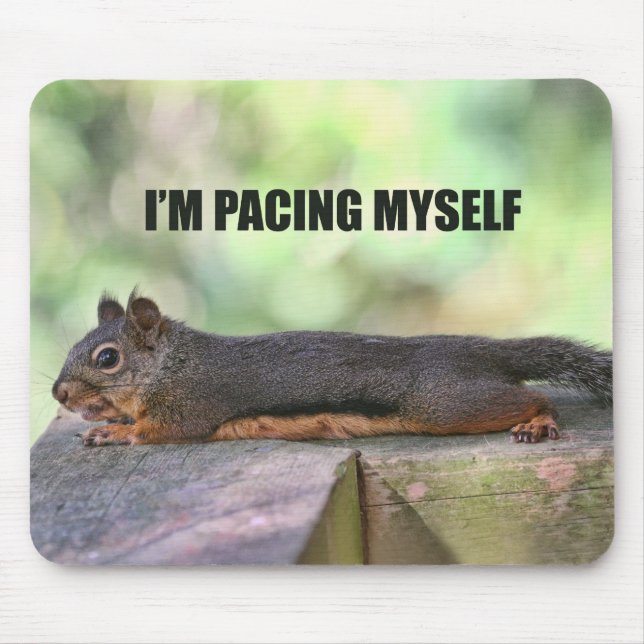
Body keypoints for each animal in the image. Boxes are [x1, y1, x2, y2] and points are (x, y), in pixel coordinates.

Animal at [51, 289, 612, 447]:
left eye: (107, 358)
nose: (59, 394)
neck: (172, 364)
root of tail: (476, 351)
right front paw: (111, 419)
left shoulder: (190, 404)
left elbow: (160, 432)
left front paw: (114, 433)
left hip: (450, 404)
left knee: (532, 397)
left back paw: (539, 421)